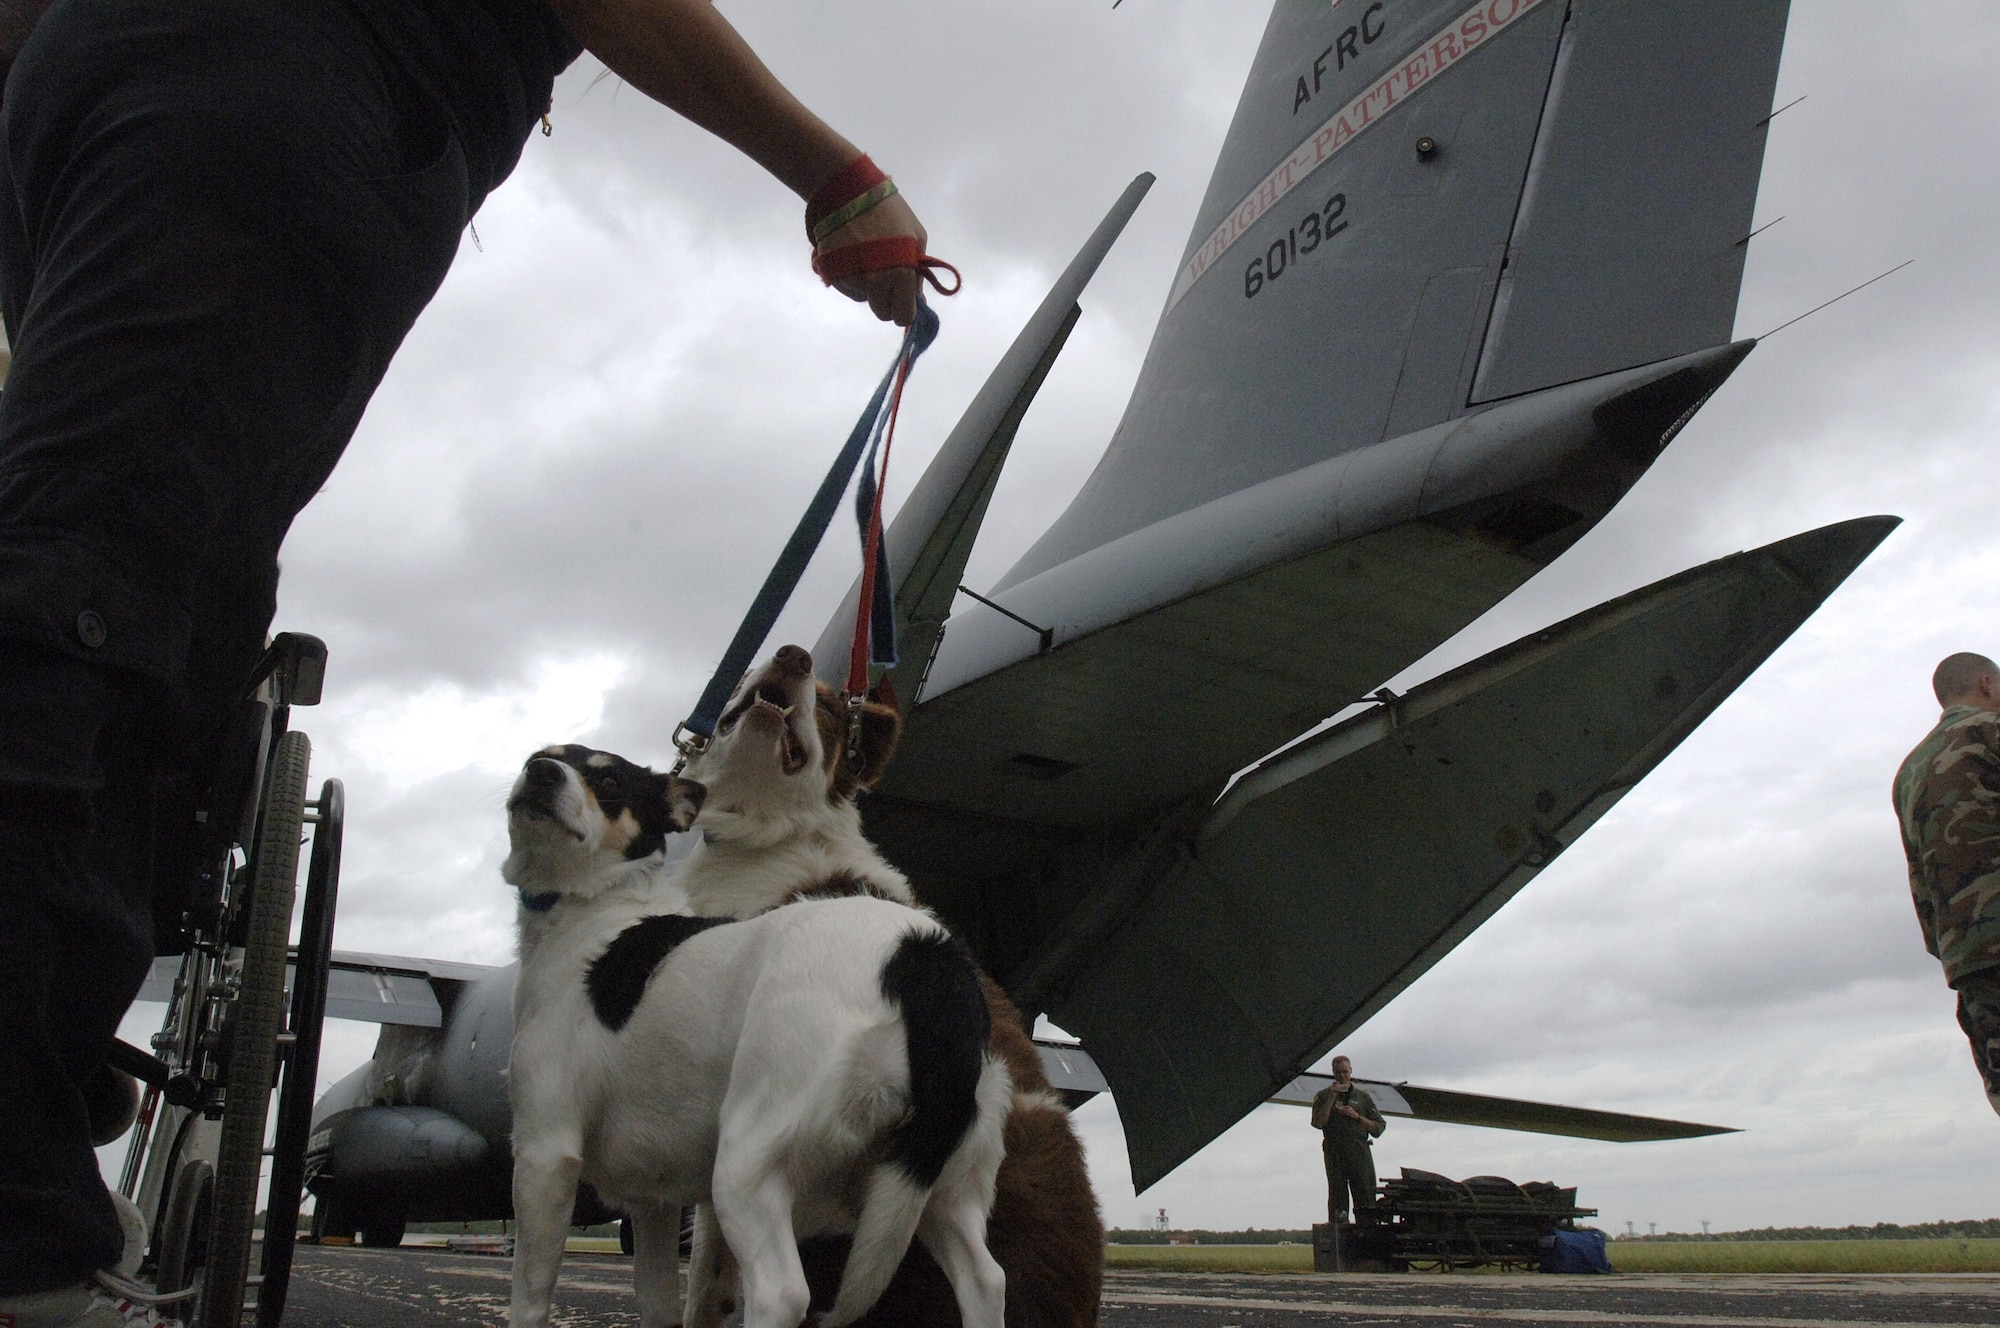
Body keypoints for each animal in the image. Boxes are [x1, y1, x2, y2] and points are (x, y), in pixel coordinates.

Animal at [496, 740, 1000, 1328]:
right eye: (537, 757)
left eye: (610, 783)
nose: (541, 772)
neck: (594, 907)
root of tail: (923, 953)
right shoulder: (654, 1202)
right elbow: (658, 1301)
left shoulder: (543, 1155)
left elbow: (529, 1298)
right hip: (939, 1186)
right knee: (985, 1279)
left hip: (746, 1164)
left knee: (781, 1291)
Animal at [680, 644, 1104, 1328]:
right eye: (746, 674)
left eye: (831, 707)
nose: (793, 655)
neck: (779, 834)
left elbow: (699, 1282)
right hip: (935, 1195)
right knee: (984, 1277)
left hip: (764, 1154)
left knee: (782, 1290)